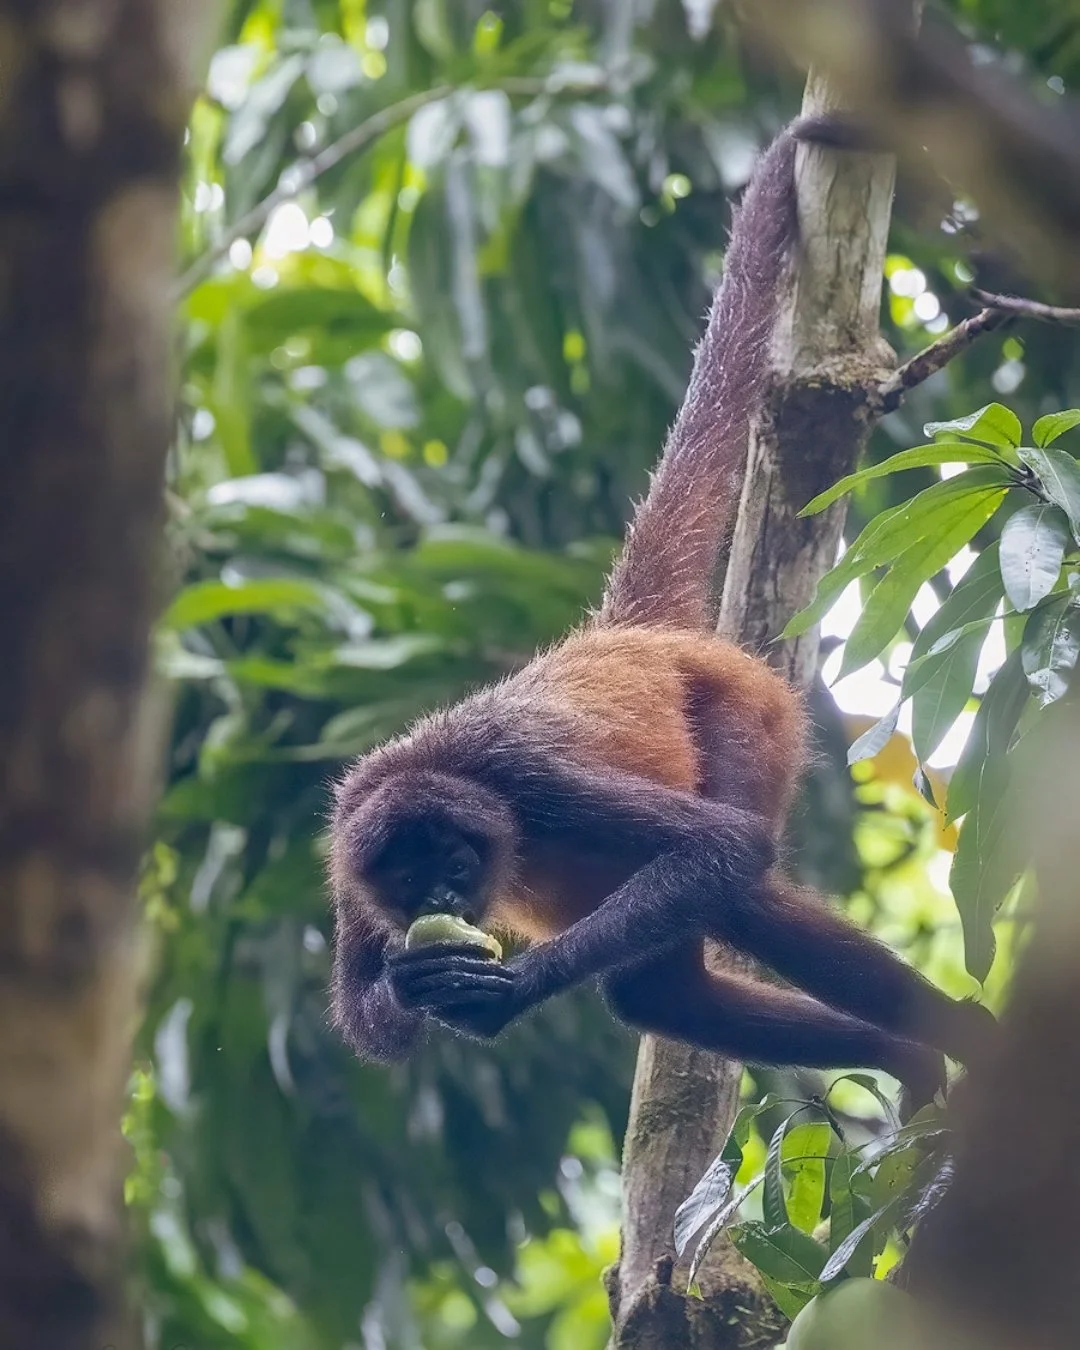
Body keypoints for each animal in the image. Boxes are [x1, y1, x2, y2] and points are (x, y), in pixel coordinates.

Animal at [327, 115, 995, 1107]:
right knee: (658, 990)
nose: (442, 905)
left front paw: (512, 988)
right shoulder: (345, 841)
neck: (438, 770)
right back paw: (909, 1058)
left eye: (453, 866)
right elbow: (365, 1022)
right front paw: (414, 983)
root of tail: (628, 634)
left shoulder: (527, 776)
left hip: (746, 708)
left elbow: (726, 849)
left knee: (743, 893)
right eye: (409, 884)